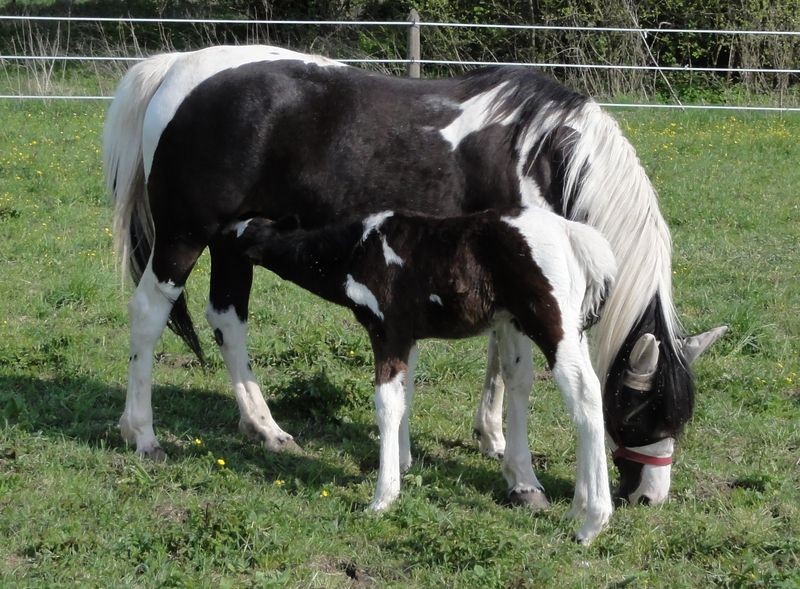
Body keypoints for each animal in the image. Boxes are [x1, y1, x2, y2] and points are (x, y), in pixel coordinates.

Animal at [102, 45, 726, 506]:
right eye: (638, 412)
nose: (650, 498)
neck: (541, 154)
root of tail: (175, 69)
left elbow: (496, 366)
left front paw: (491, 438)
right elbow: (520, 377)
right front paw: (522, 480)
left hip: (235, 242)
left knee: (229, 319)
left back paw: (266, 429)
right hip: (184, 238)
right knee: (148, 316)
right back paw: (143, 434)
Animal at [230, 206, 617, 543]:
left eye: (246, 231)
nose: (221, 243)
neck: (355, 250)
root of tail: (571, 234)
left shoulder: (388, 331)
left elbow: (386, 404)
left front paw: (383, 498)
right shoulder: (409, 338)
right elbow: (405, 396)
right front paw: (402, 464)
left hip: (550, 323)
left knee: (584, 393)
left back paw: (592, 523)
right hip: (571, 327)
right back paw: (577, 508)